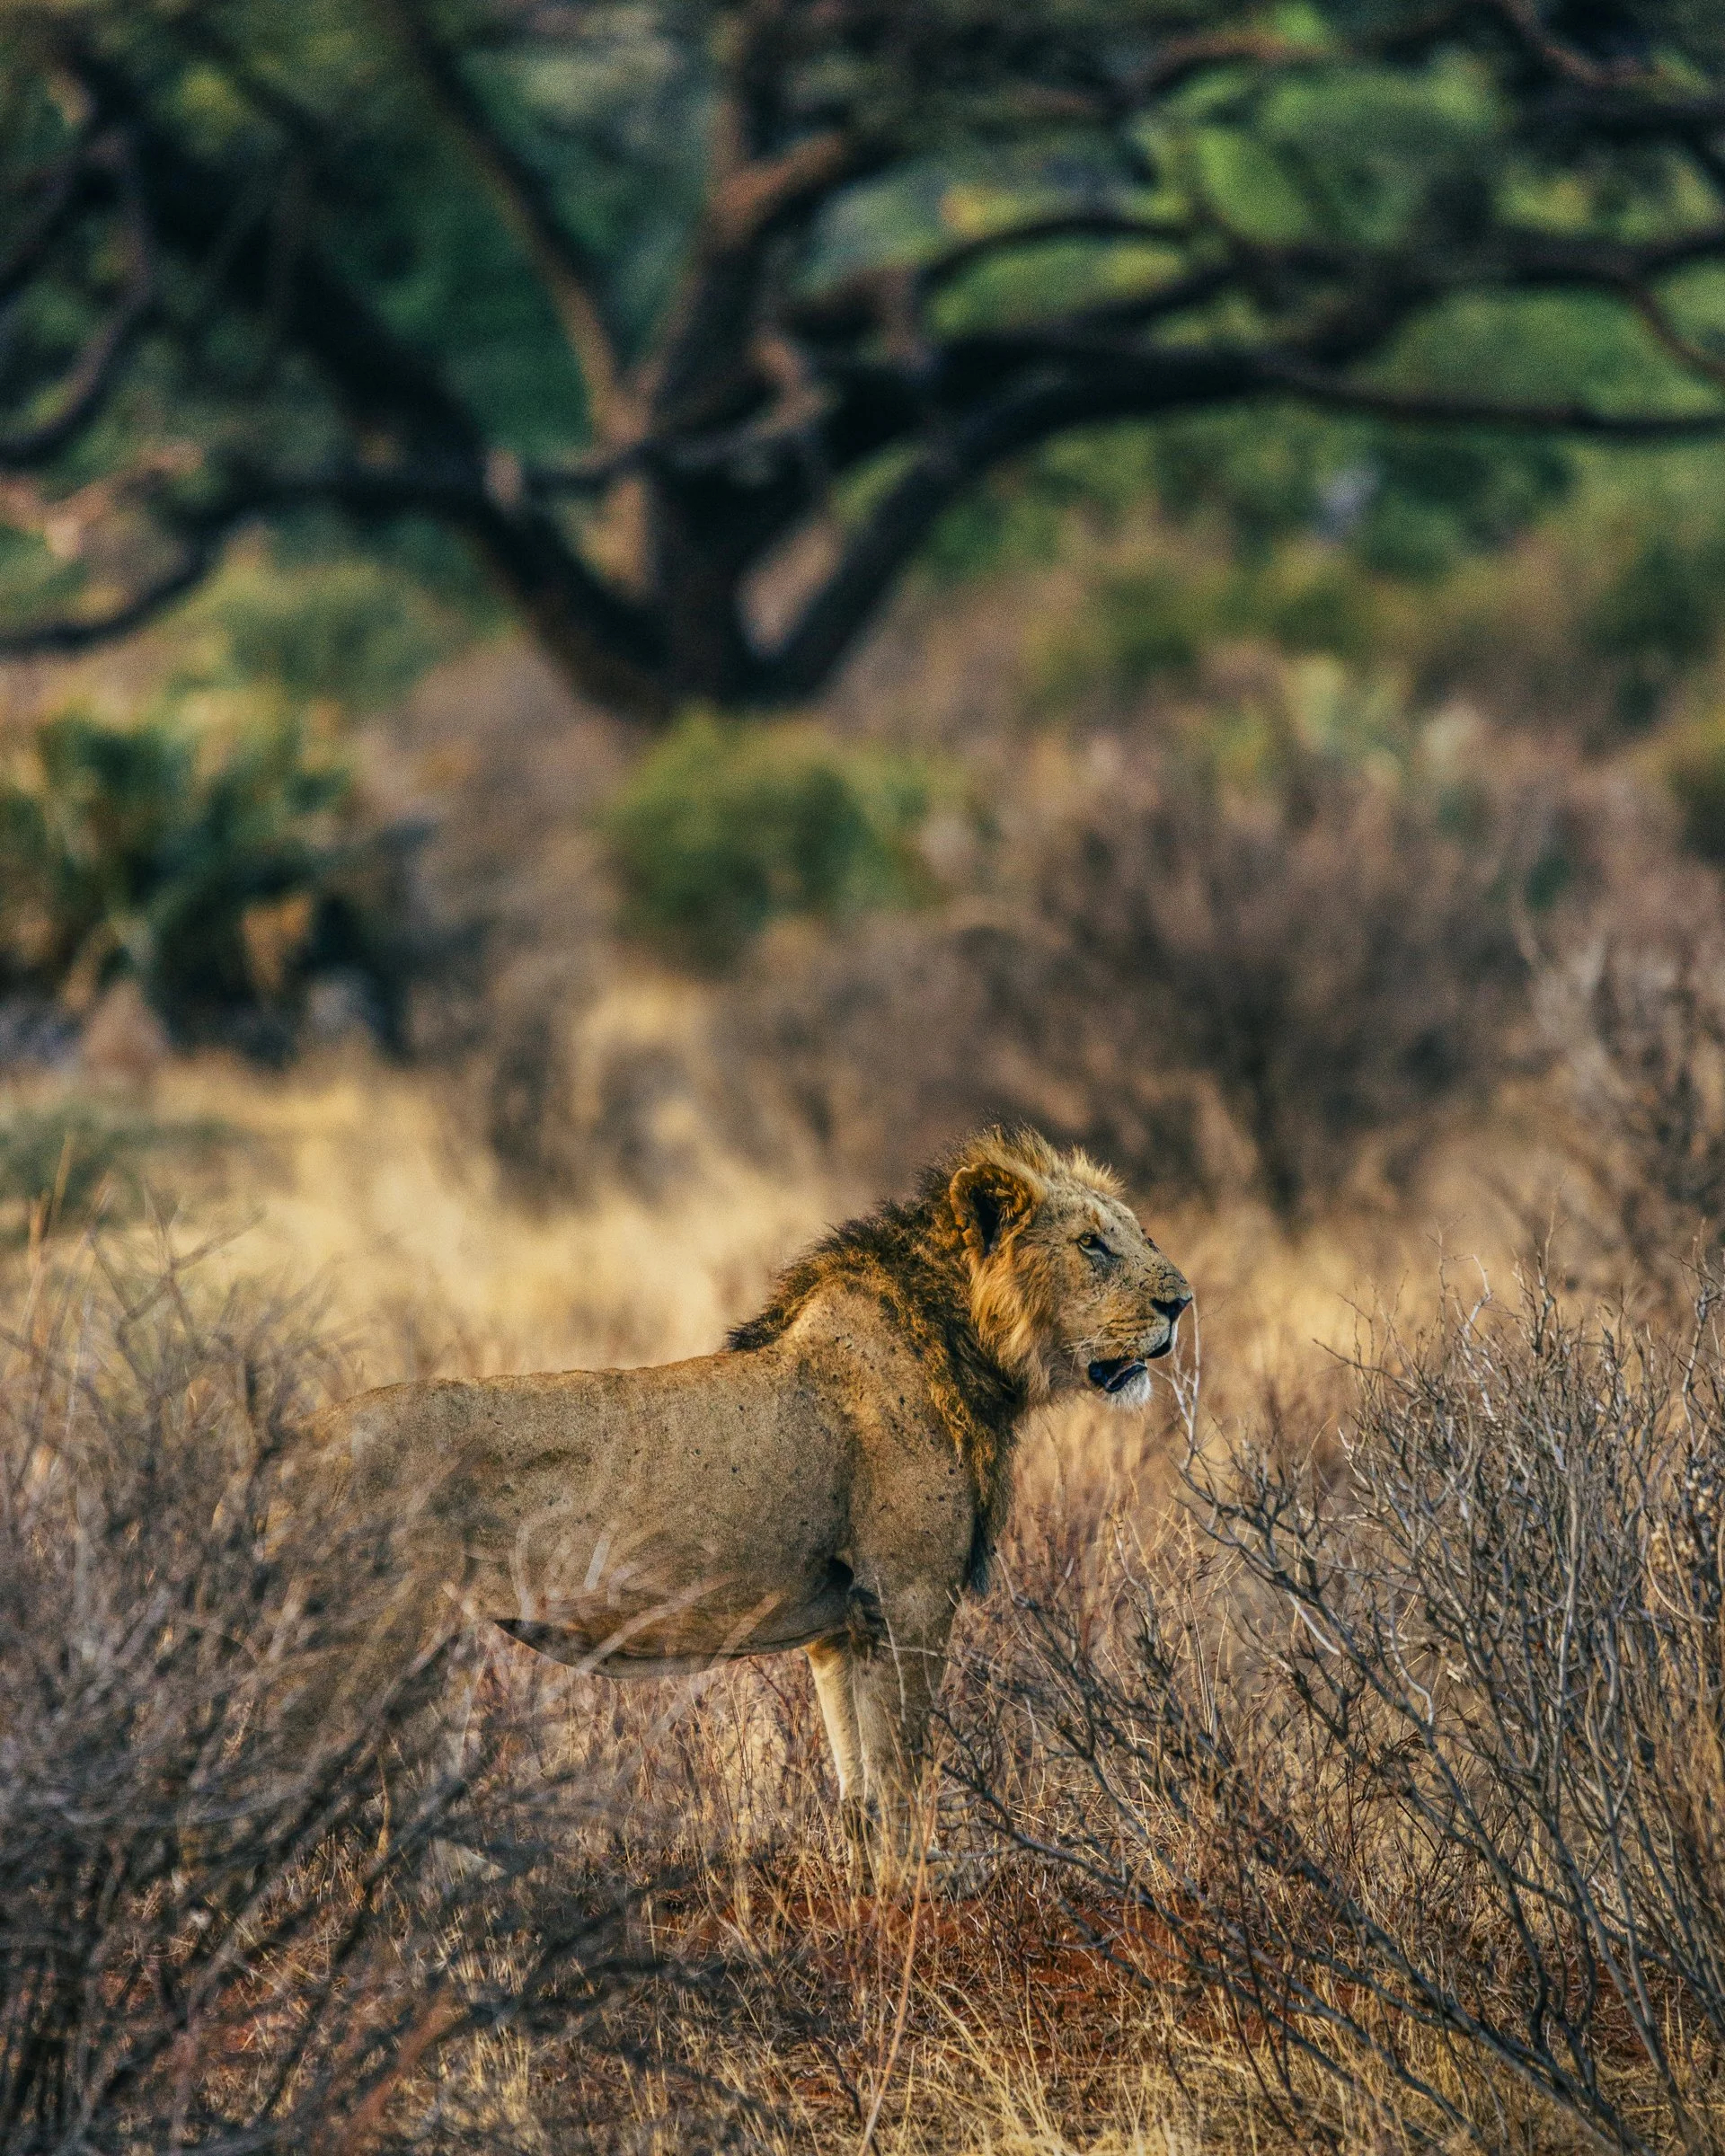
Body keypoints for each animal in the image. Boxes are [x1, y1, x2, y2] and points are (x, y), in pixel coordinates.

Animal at [316, 1127, 1191, 1867]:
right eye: (1090, 1244)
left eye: (1136, 1232)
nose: (1181, 1302)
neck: (972, 1353)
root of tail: (304, 1436)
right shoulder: (909, 1598)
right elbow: (905, 1795)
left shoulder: (843, 1629)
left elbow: (860, 1796)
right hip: (359, 1661)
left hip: (434, 1668)